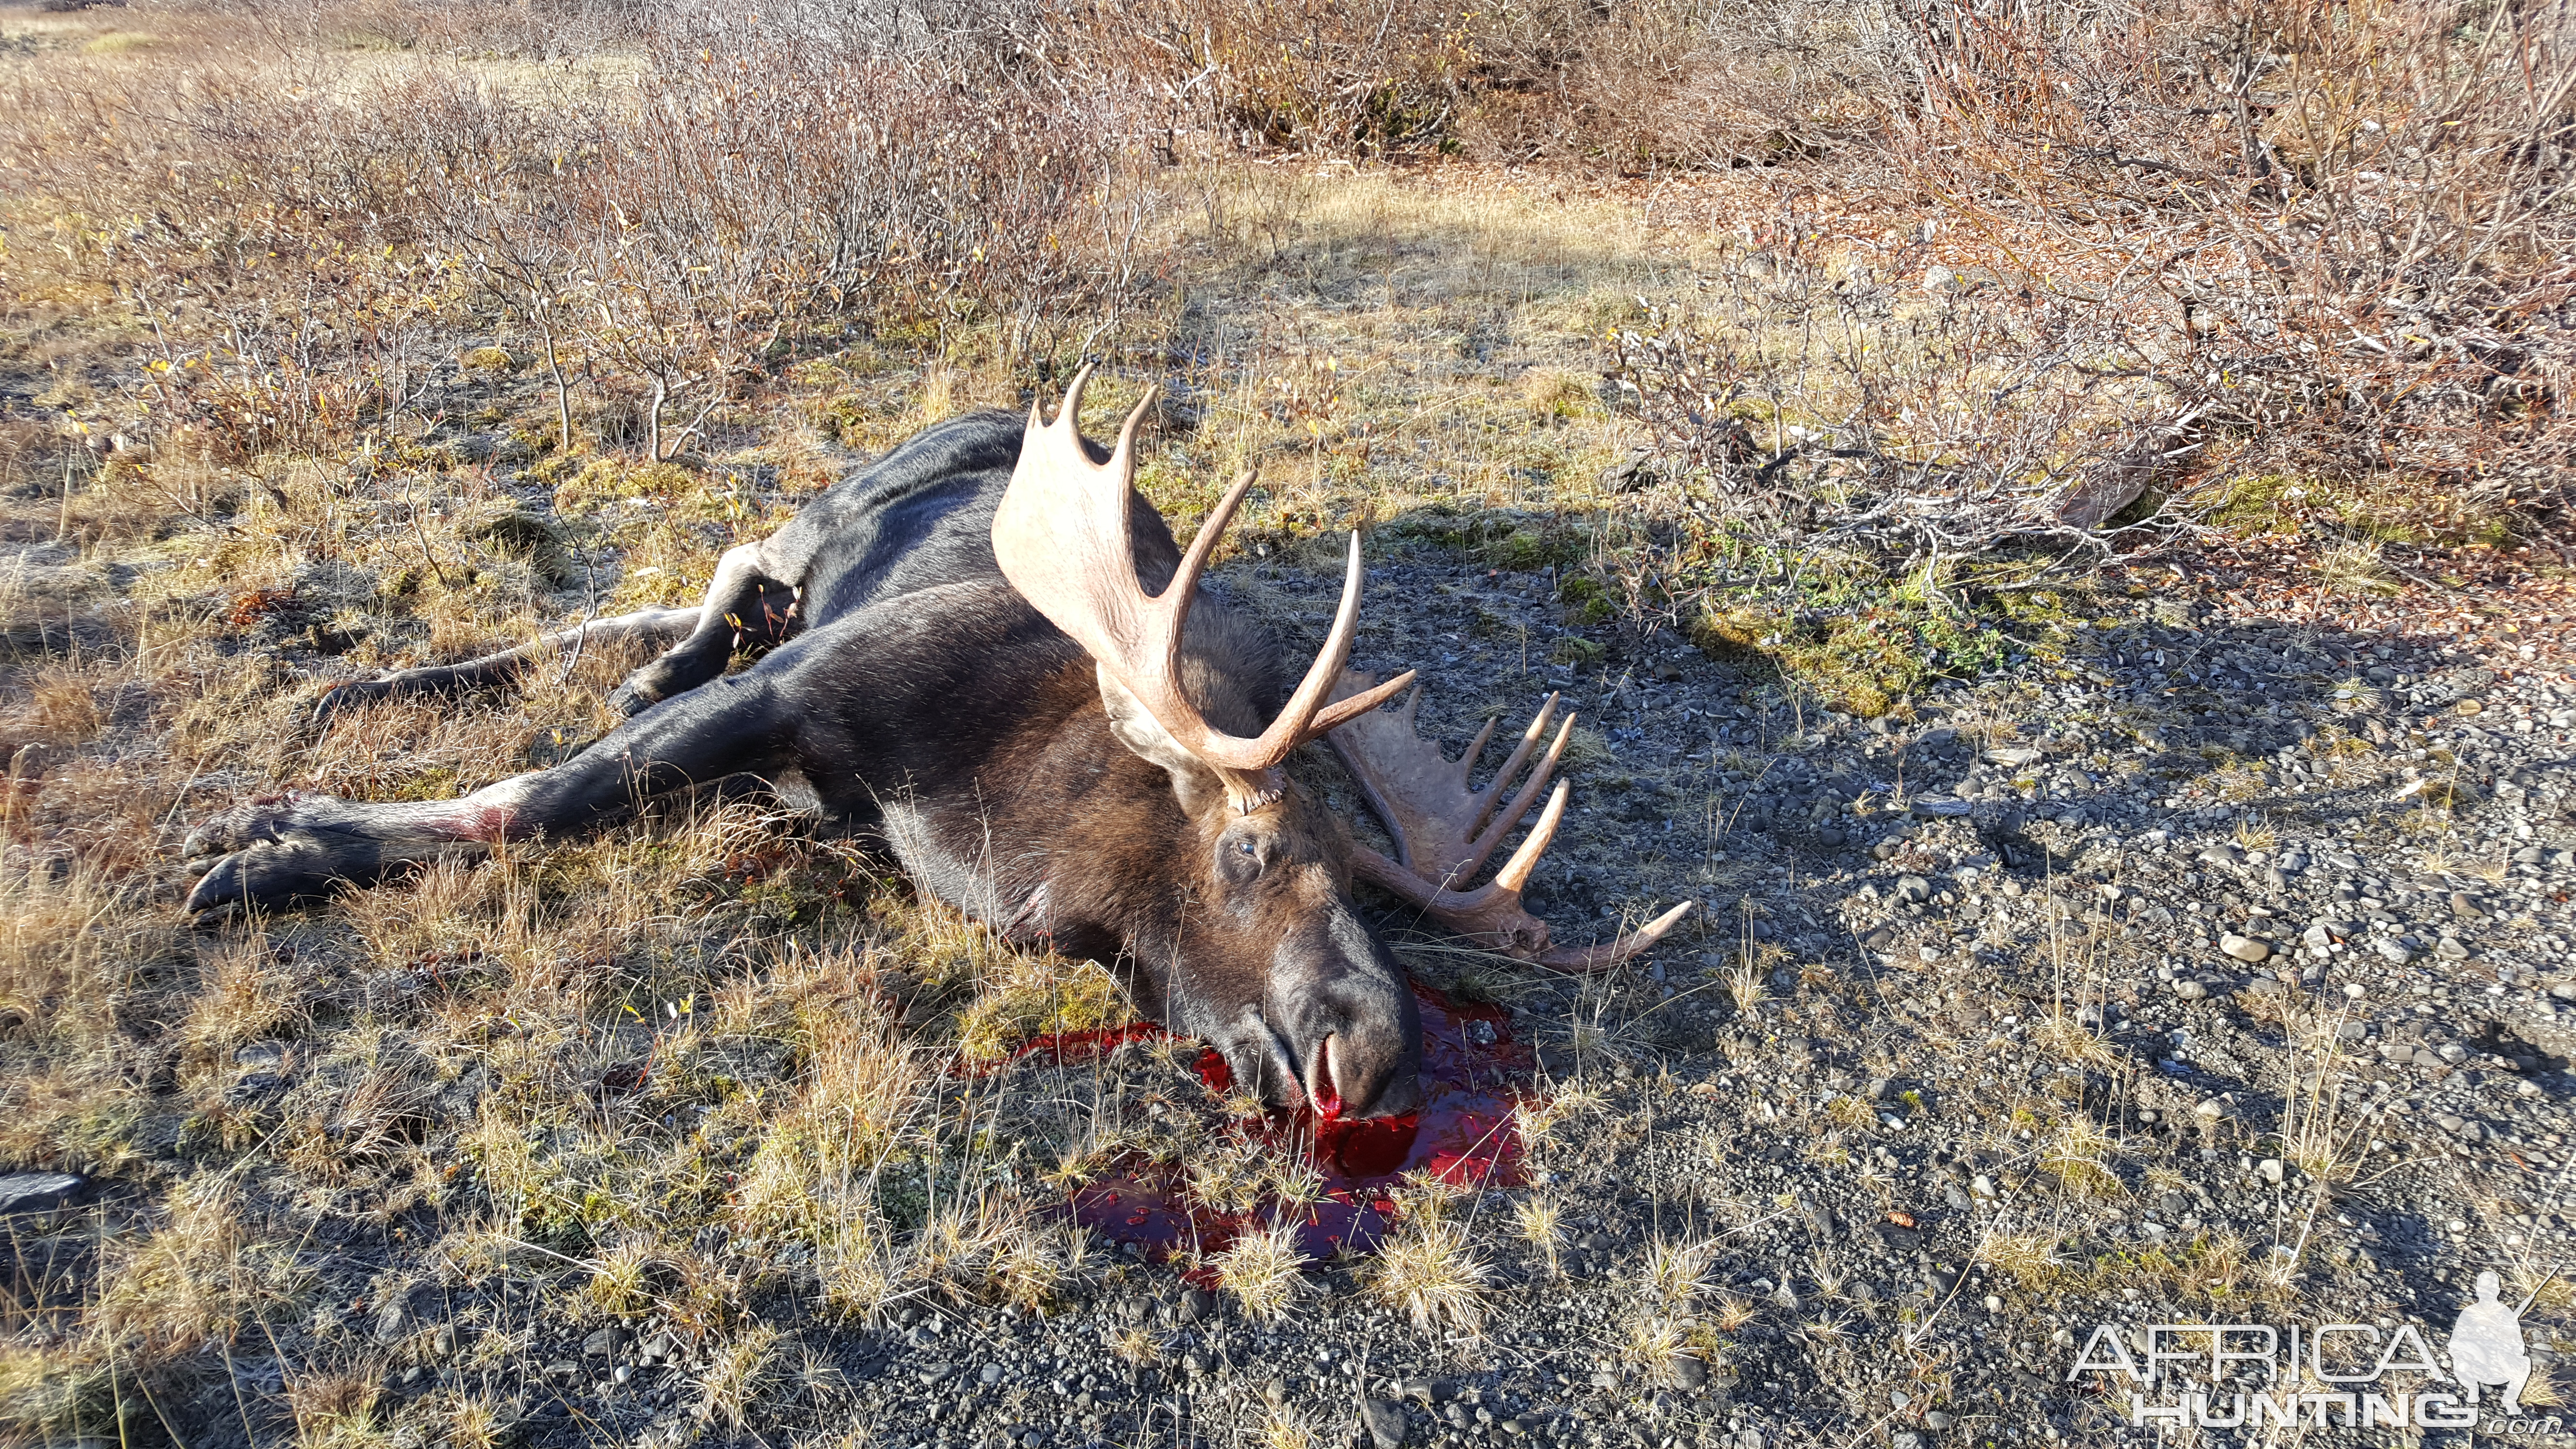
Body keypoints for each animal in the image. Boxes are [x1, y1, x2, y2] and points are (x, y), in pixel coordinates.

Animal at [181, 371, 1690, 1119]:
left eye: (1375, 893)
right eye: (1254, 846)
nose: (1376, 1054)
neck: (987, 824)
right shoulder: (801, 684)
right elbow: (525, 799)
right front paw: (266, 840)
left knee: (684, 594)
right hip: (833, 508)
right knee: (734, 556)